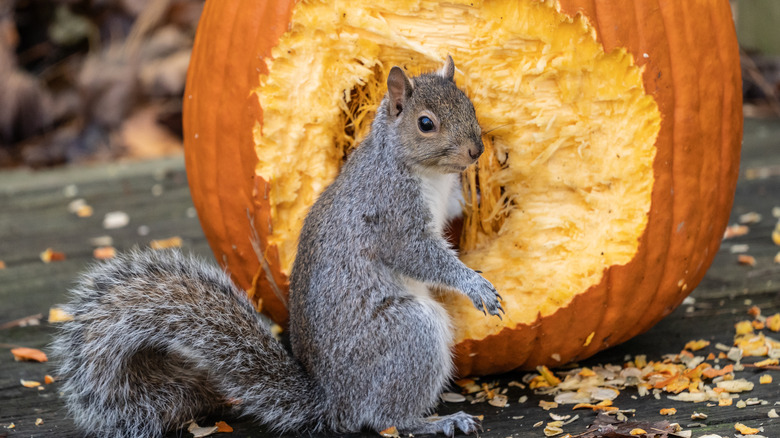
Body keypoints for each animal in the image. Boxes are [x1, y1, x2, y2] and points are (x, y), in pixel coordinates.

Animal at [51, 55, 502, 438]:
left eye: (469, 105)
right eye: (426, 123)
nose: (476, 150)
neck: (426, 173)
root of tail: (336, 402)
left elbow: (457, 210)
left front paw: (487, 196)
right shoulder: (390, 214)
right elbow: (418, 255)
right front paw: (474, 284)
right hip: (408, 333)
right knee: (386, 418)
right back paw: (435, 421)